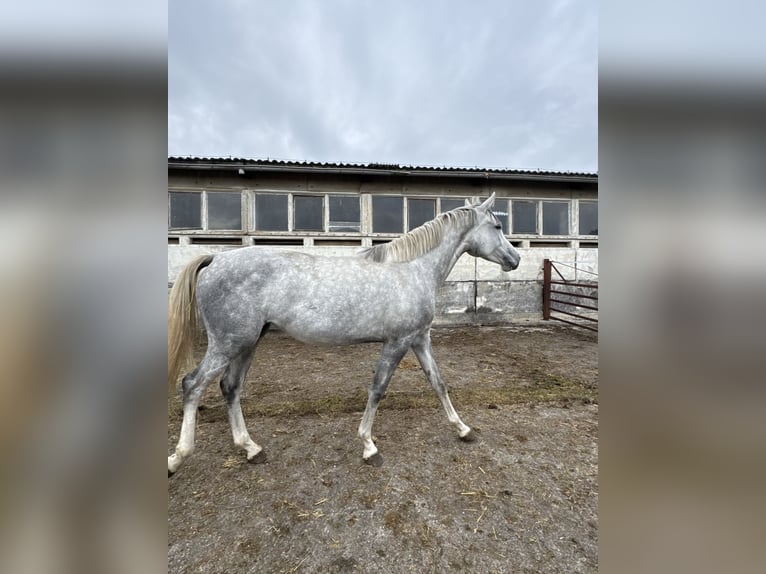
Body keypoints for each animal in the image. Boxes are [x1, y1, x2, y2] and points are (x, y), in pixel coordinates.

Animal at [167, 193, 520, 474]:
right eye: (498, 227)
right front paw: (369, 447)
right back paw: (178, 458)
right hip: (228, 343)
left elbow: (439, 383)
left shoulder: (419, 339)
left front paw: (463, 429)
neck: (412, 270)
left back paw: (251, 448)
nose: (515, 259)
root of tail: (216, 257)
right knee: (193, 384)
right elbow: (378, 389)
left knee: (230, 387)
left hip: (247, 343)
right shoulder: (398, 342)